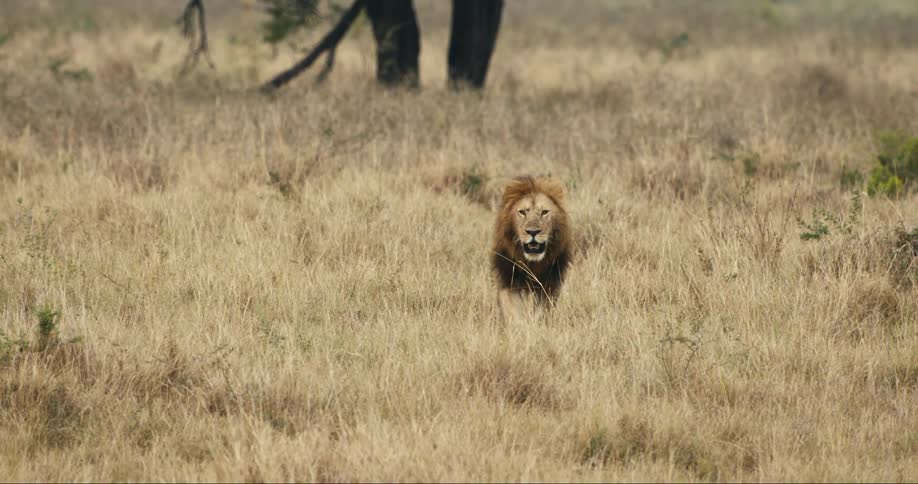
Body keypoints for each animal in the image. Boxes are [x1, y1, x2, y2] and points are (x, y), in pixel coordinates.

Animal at [491, 176, 572, 322]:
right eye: (522, 212)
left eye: (544, 212)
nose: (533, 232)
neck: (532, 264)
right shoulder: (508, 281)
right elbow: (513, 314)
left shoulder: (549, 285)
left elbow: (541, 313)